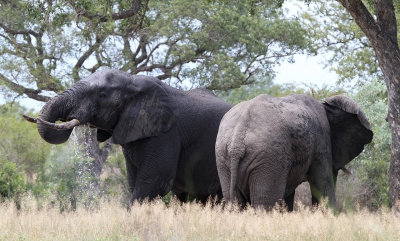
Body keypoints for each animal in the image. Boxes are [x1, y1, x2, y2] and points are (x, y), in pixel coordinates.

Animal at [214, 93, 374, 210]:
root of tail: (237, 140)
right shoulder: (321, 142)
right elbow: (323, 184)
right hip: (269, 158)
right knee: (265, 203)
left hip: (224, 158)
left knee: (236, 201)